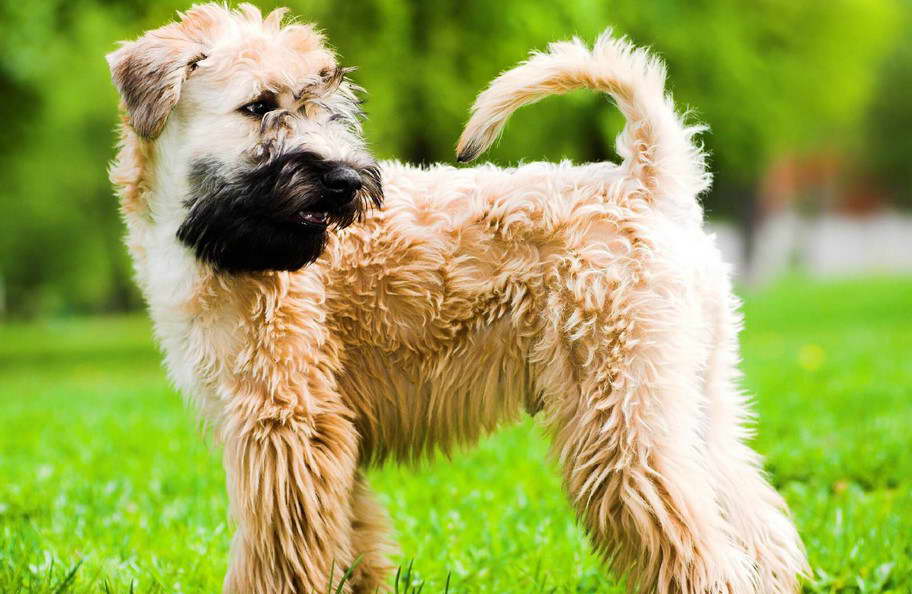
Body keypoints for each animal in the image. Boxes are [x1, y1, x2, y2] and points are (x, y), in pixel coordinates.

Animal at [108, 3, 812, 588]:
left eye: (328, 103)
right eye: (258, 105)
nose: (347, 182)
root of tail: (644, 182)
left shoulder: (284, 425)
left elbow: (274, 555)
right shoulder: (328, 437)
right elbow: (349, 543)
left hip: (619, 422)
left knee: (699, 547)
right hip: (691, 399)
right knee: (753, 524)